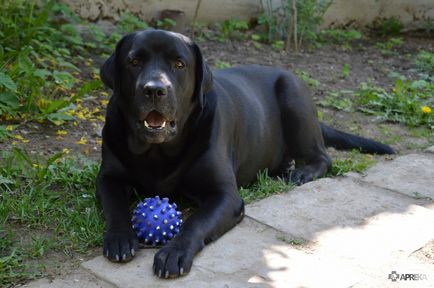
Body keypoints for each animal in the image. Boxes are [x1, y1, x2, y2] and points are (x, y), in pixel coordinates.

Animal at [96, 28, 396, 276]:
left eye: (179, 64)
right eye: (134, 62)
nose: (155, 90)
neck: (159, 152)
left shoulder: (225, 196)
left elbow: (196, 222)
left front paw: (174, 252)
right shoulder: (108, 178)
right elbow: (115, 206)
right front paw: (120, 238)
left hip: (293, 97)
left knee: (323, 156)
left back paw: (302, 173)